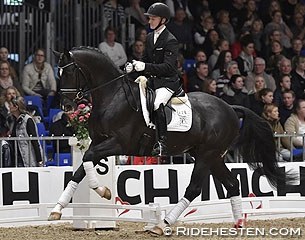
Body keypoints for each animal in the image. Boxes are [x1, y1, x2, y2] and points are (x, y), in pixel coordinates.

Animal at [49, 47, 294, 234]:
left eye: (69, 72)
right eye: (59, 74)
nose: (66, 106)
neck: (112, 96)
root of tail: (231, 108)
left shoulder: (118, 144)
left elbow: (89, 160)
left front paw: (103, 192)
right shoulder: (97, 141)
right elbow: (80, 170)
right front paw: (57, 209)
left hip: (206, 155)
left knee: (194, 188)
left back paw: (162, 224)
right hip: (211, 155)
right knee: (232, 183)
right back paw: (238, 223)